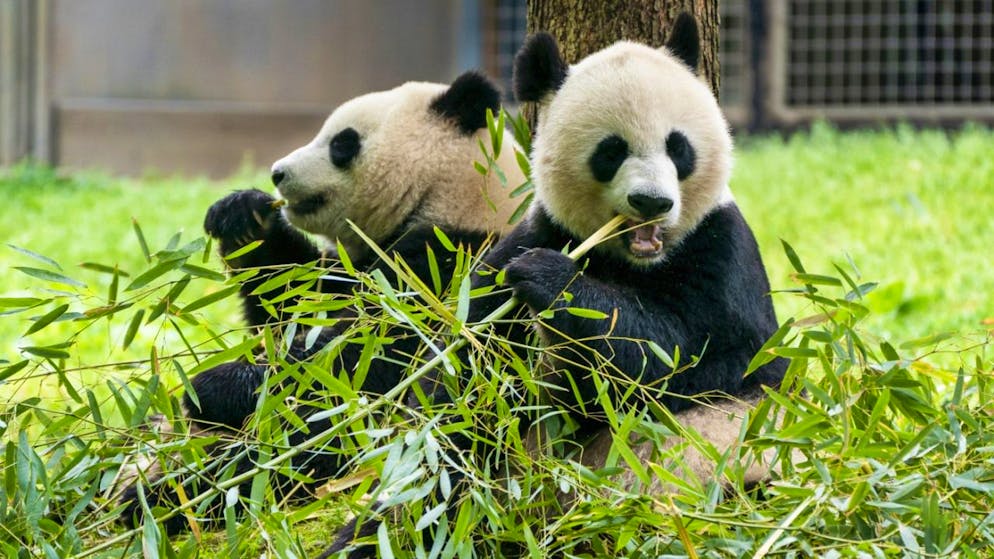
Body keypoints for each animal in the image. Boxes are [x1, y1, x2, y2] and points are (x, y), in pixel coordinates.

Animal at [119, 71, 527, 534]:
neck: (455, 196)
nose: (277, 173)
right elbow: (289, 303)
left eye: (342, 143)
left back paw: (161, 498)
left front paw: (213, 386)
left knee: (289, 455)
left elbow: (364, 363)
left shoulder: (451, 266)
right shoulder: (353, 266)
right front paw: (243, 216)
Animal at [327, 13, 787, 559]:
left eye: (679, 147)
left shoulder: (722, 255)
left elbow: (681, 357)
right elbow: (467, 384)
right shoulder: (531, 236)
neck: (629, 260)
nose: (652, 202)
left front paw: (551, 281)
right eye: (611, 151)